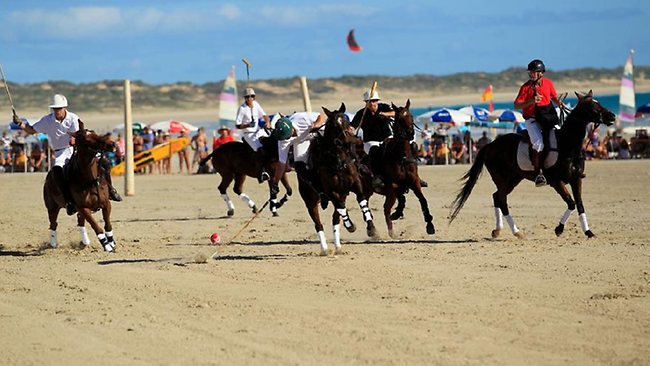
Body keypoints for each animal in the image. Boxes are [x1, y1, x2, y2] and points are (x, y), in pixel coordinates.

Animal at [44, 123, 116, 252]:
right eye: (87, 139)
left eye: (95, 133)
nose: (111, 144)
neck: (90, 180)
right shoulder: (83, 208)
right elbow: (96, 226)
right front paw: (106, 245)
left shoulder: (106, 203)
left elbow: (107, 224)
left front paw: (111, 242)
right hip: (52, 207)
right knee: (53, 224)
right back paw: (53, 243)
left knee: (80, 222)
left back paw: (85, 242)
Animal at [298, 103, 378, 254]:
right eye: (334, 124)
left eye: (346, 121)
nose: (348, 140)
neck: (337, 160)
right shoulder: (331, 191)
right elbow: (341, 208)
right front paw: (351, 226)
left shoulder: (355, 185)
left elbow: (362, 200)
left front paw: (371, 228)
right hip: (310, 200)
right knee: (319, 224)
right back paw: (324, 249)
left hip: (341, 194)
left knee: (335, 219)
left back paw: (338, 246)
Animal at [362, 100, 432, 239]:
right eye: (399, 118)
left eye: (411, 116)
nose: (410, 133)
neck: (402, 155)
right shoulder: (393, 185)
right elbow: (398, 200)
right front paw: (397, 214)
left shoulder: (414, 182)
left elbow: (422, 200)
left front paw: (430, 225)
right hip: (366, 189)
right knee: (372, 206)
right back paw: (375, 231)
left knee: (386, 207)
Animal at [448, 91, 616, 237]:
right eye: (592, 106)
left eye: (599, 103)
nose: (613, 116)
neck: (567, 144)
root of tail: (490, 145)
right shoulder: (556, 181)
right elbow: (571, 203)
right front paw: (559, 229)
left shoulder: (576, 179)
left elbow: (579, 204)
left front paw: (588, 232)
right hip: (501, 178)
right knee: (502, 200)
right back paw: (516, 232)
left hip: (514, 179)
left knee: (497, 197)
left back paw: (498, 230)